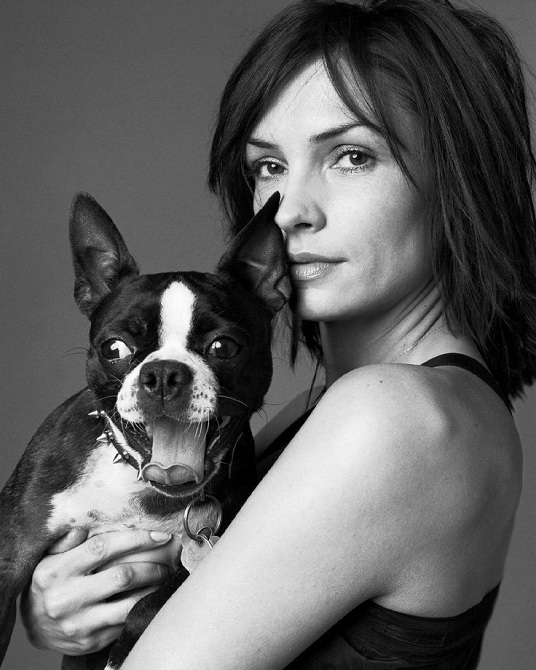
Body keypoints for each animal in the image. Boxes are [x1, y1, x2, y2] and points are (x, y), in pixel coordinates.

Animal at [0, 192, 288, 668]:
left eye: (223, 347)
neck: (138, 488)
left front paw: (119, 652)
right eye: (114, 348)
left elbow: (151, 604)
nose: (165, 374)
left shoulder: (213, 550)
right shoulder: (11, 552)